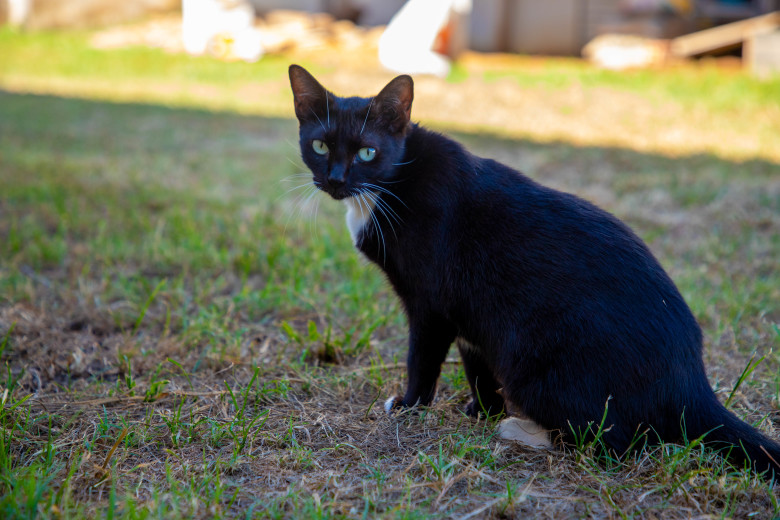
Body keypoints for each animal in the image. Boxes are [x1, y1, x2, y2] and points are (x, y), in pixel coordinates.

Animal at [288, 64, 780, 476]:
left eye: (367, 153)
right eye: (319, 145)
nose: (335, 179)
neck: (387, 189)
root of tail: (691, 383)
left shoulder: (430, 306)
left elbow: (421, 361)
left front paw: (411, 407)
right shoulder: (469, 315)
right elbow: (477, 365)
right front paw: (481, 410)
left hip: (536, 364)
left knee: (618, 445)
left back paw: (525, 432)